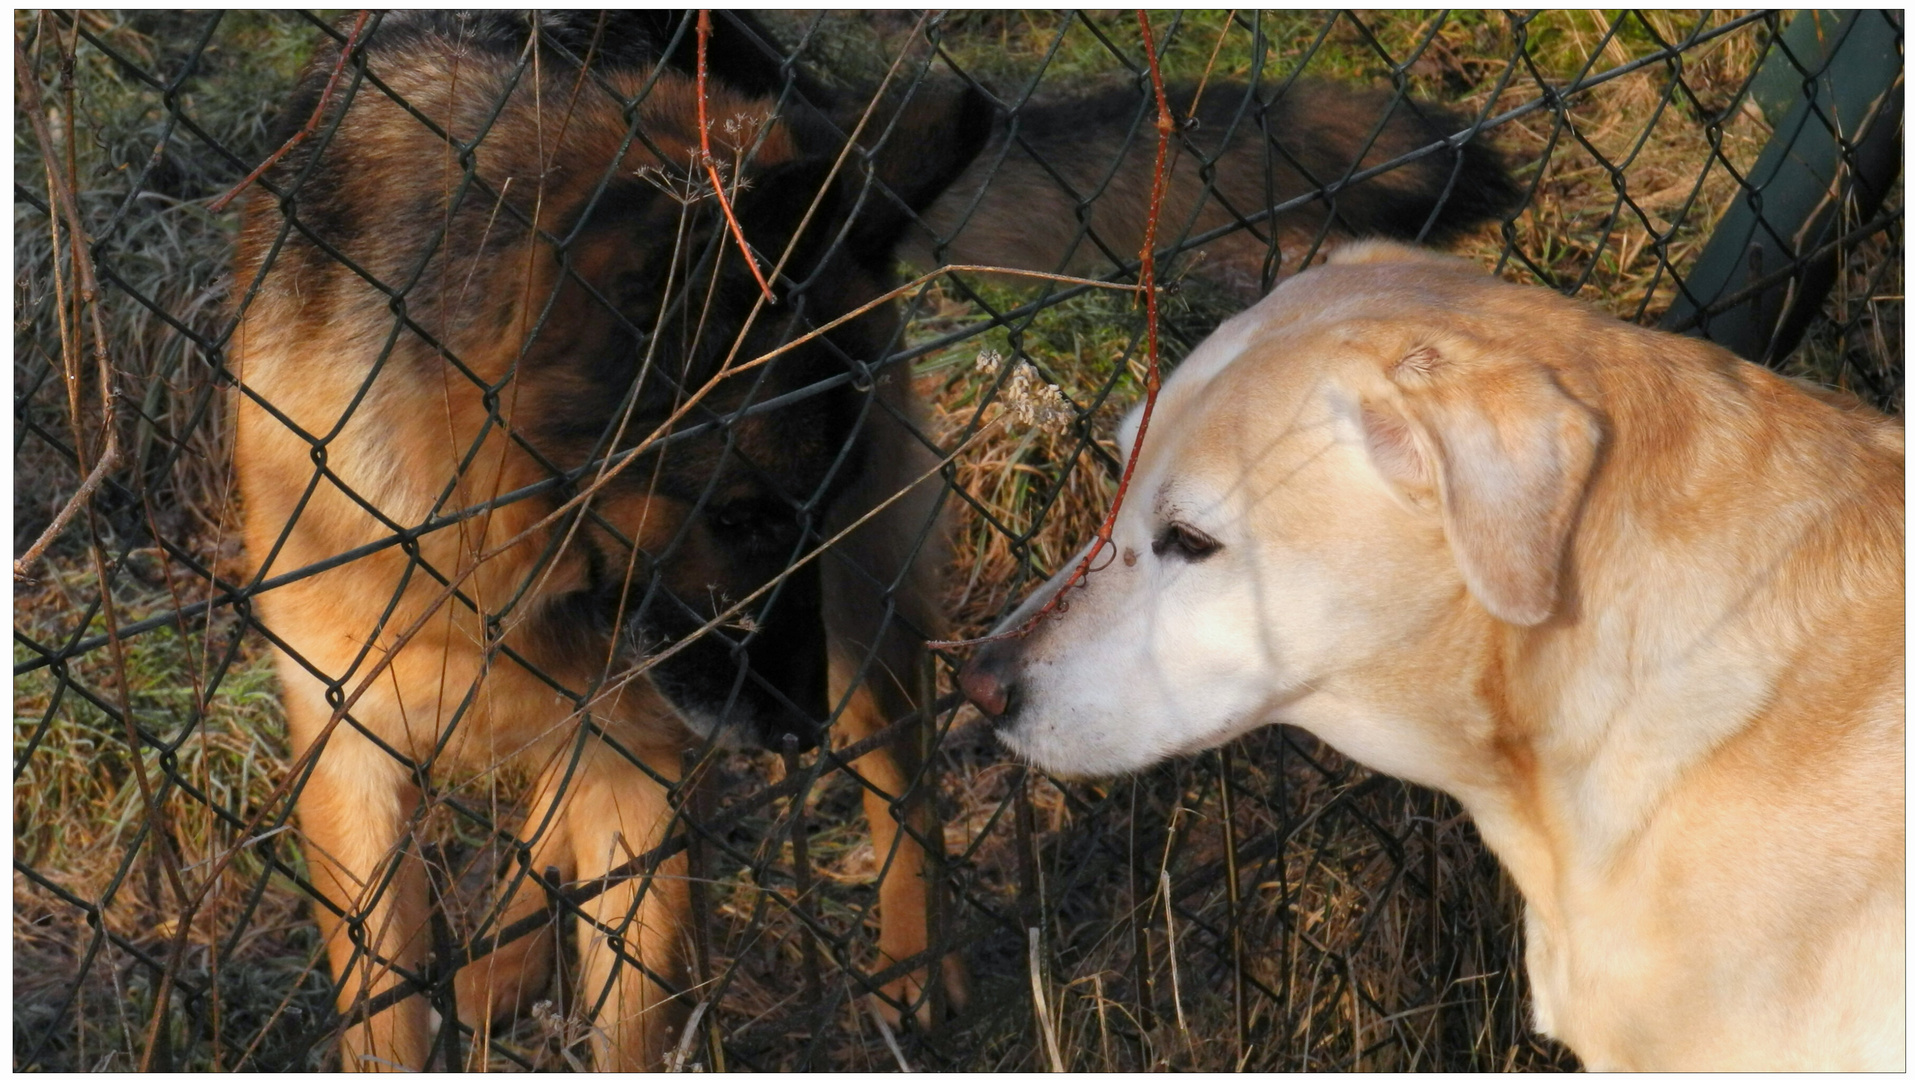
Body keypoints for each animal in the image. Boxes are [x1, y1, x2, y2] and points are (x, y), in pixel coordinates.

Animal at [227, 10, 1509, 1072]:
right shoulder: (353, 760)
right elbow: (387, 1008)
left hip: (866, 608)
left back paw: (911, 967)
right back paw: (507, 959)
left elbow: (635, 1003)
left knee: (900, 778)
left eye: (798, 507)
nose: (792, 734)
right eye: (742, 516)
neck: (507, 553)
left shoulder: (650, 745)